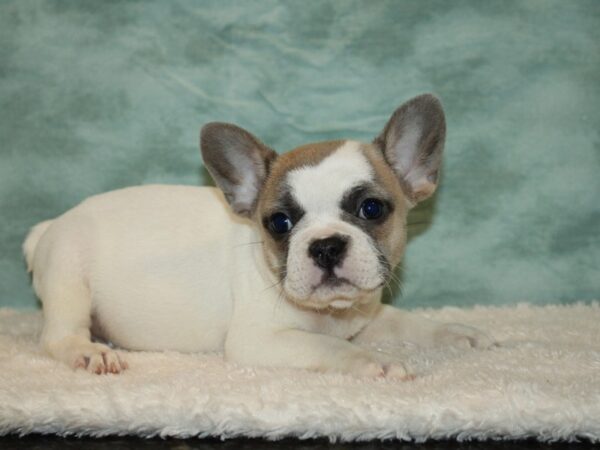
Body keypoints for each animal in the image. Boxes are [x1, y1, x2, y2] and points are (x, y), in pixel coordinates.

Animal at [23, 94, 492, 376]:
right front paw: (372, 362)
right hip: (69, 277)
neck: (333, 315)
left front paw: (456, 333)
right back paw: (89, 351)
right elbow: (331, 349)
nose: (325, 246)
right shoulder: (261, 341)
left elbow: (406, 322)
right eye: (280, 223)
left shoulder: (368, 315)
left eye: (372, 209)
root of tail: (52, 226)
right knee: (57, 336)